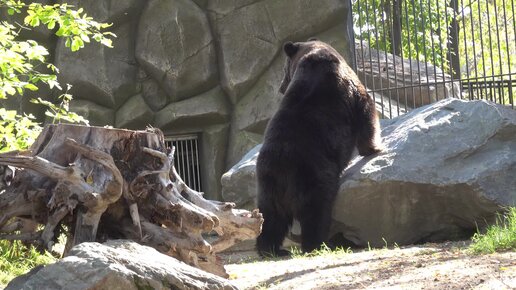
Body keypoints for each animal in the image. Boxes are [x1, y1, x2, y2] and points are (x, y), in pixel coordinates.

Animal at [256, 39, 380, 256]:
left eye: (284, 70)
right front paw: (374, 148)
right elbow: (365, 108)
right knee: (316, 211)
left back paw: (271, 249)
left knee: (270, 217)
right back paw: (317, 244)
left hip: (267, 182)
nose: (281, 87)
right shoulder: (348, 88)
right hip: (314, 174)